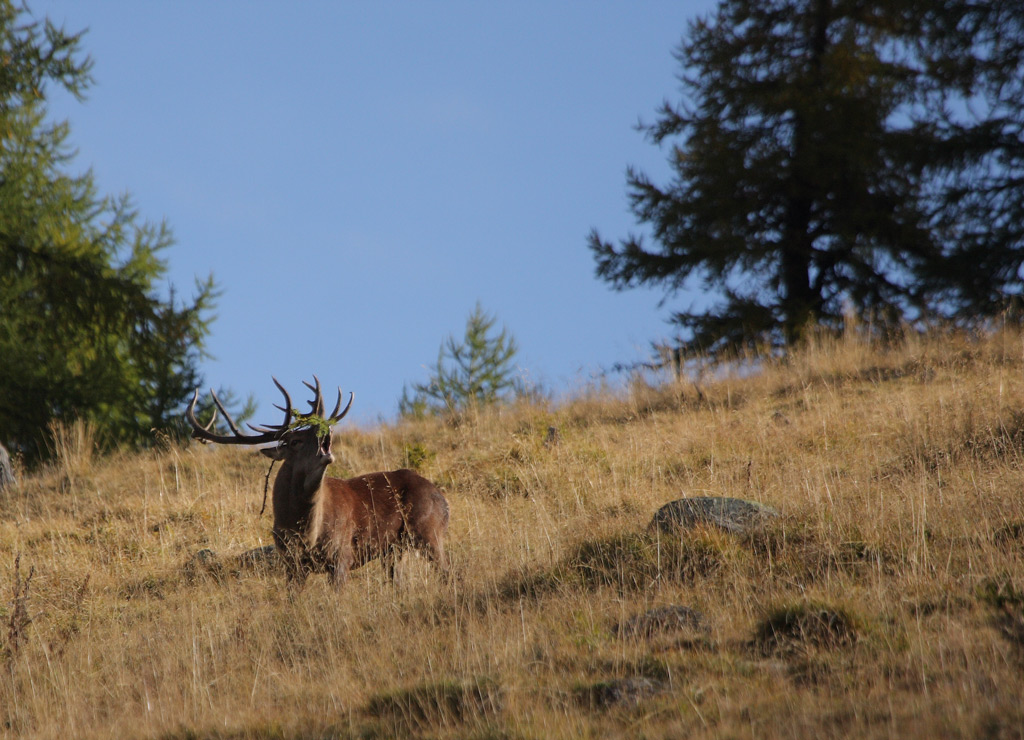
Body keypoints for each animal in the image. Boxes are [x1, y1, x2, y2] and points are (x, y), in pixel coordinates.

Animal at [186, 377, 450, 588]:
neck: (305, 533)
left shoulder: (342, 555)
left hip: (428, 529)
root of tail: (443, 500)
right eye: (295, 441)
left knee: (446, 570)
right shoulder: (291, 564)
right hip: (395, 549)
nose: (325, 429)